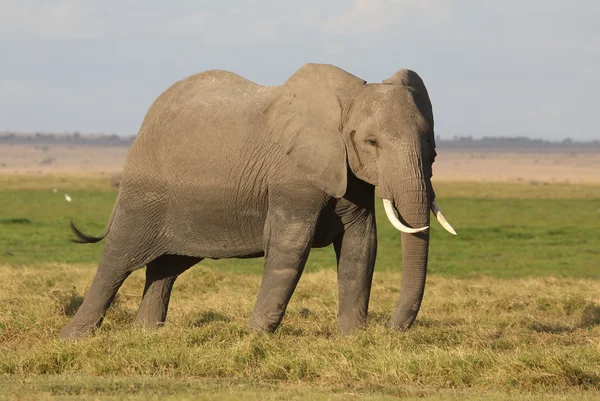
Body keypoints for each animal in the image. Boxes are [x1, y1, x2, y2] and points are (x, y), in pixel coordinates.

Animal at [59, 62, 454, 338]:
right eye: (371, 143)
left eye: (430, 143)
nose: (387, 328)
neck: (350, 95)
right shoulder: (292, 176)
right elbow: (291, 246)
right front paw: (254, 336)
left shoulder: (350, 175)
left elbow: (361, 244)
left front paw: (353, 338)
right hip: (145, 192)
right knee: (117, 260)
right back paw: (73, 337)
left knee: (166, 267)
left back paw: (146, 335)